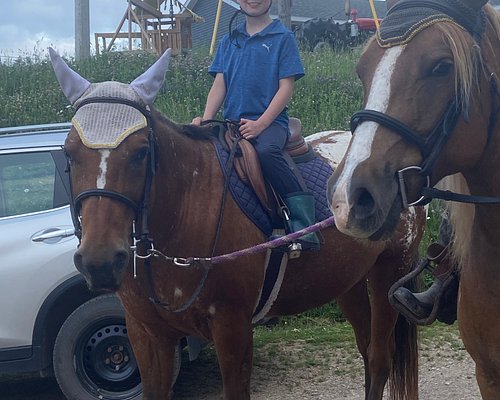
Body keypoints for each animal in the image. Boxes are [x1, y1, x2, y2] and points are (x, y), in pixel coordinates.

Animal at [50, 48, 424, 398]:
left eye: (141, 152)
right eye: (69, 152)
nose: (99, 261)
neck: (186, 211)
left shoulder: (233, 328)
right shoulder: (146, 334)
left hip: (390, 271)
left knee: (379, 358)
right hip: (348, 281)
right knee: (366, 352)